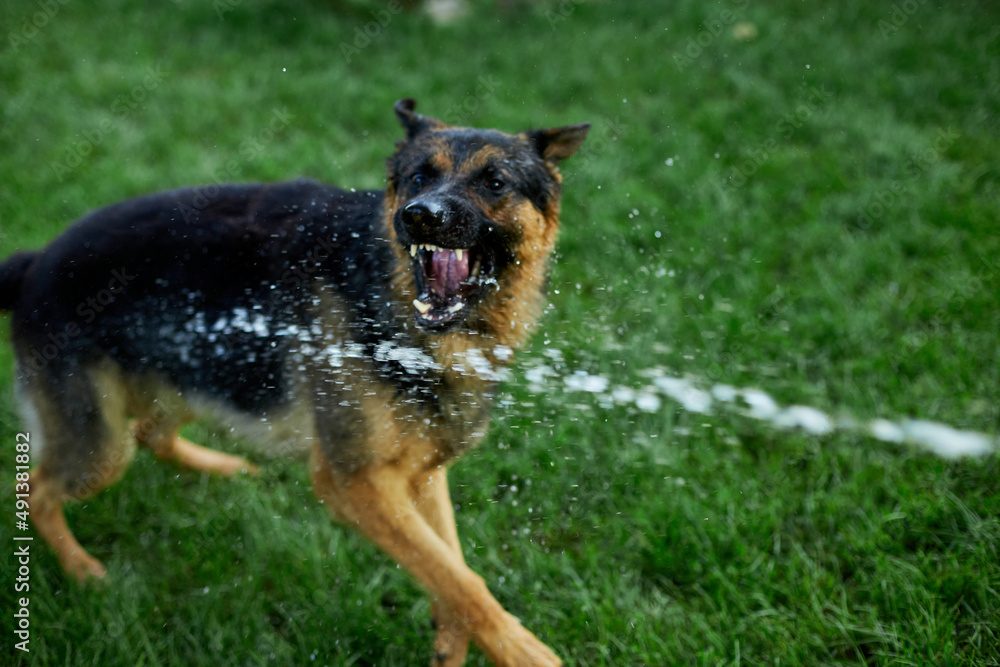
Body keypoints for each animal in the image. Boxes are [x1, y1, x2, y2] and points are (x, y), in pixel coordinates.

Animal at [0, 100, 584, 667]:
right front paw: (524, 652)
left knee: (151, 432)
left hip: (199, 370)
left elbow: (451, 565)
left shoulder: (418, 471)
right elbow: (458, 579)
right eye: (419, 177)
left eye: (495, 182)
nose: (420, 216)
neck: (381, 287)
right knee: (33, 490)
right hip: (100, 447)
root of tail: (31, 264)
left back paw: (226, 468)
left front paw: (452, 643)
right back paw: (81, 570)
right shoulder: (354, 479)